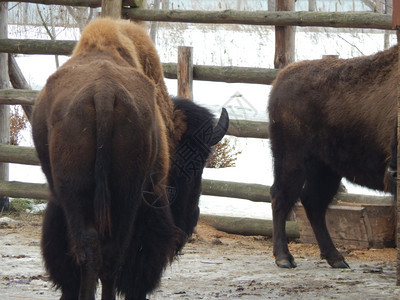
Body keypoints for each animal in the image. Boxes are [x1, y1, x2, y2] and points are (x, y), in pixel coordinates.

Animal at [31, 17, 228, 298]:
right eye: (196, 166)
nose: (191, 220)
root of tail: (103, 93)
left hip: (83, 196)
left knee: (92, 251)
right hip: (130, 198)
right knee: (114, 256)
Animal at [268, 44, 396, 270]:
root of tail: (282, 77)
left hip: (327, 170)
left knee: (313, 203)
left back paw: (336, 258)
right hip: (292, 162)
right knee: (281, 197)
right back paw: (284, 258)